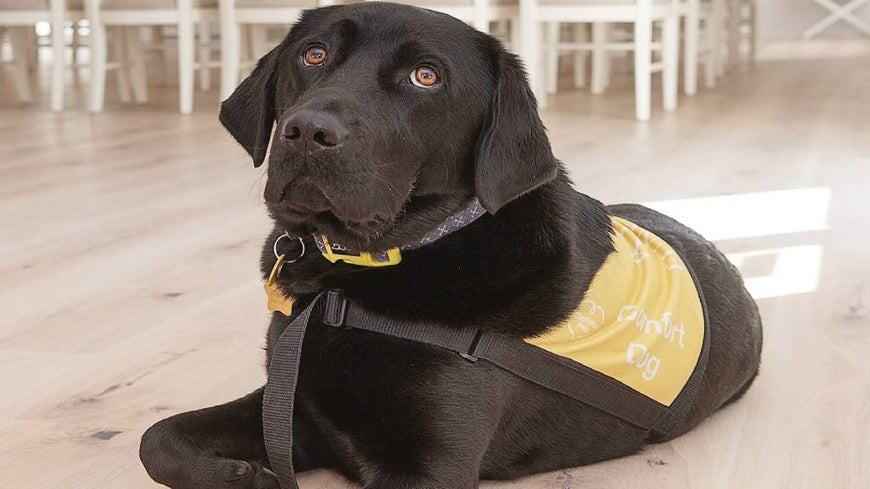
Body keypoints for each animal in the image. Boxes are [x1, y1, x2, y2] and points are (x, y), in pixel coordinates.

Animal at [141, 2, 764, 484]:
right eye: (313, 55)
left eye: (426, 76)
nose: (308, 131)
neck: (350, 279)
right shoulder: (293, 405)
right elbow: (158, 437)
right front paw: (244, 475)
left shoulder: (428, 465)